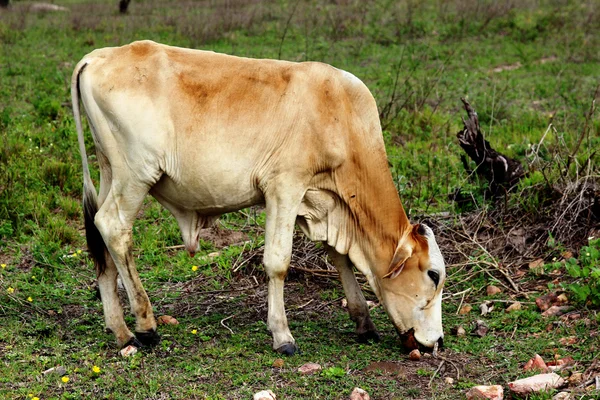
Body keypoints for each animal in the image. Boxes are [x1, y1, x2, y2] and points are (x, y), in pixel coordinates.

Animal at [70, 39, 446, 354]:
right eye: (433, 275)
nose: (438, 341)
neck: (340, 114)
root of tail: (99, 55)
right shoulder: (284, 187)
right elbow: (278, 262)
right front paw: (282, 334)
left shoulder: (321, 201)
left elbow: (339, 257)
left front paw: (363, 322)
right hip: (137, 174)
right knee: (114, 227)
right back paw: (145, 326)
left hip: (110, 171)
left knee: (100, 238)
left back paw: (120, 330)